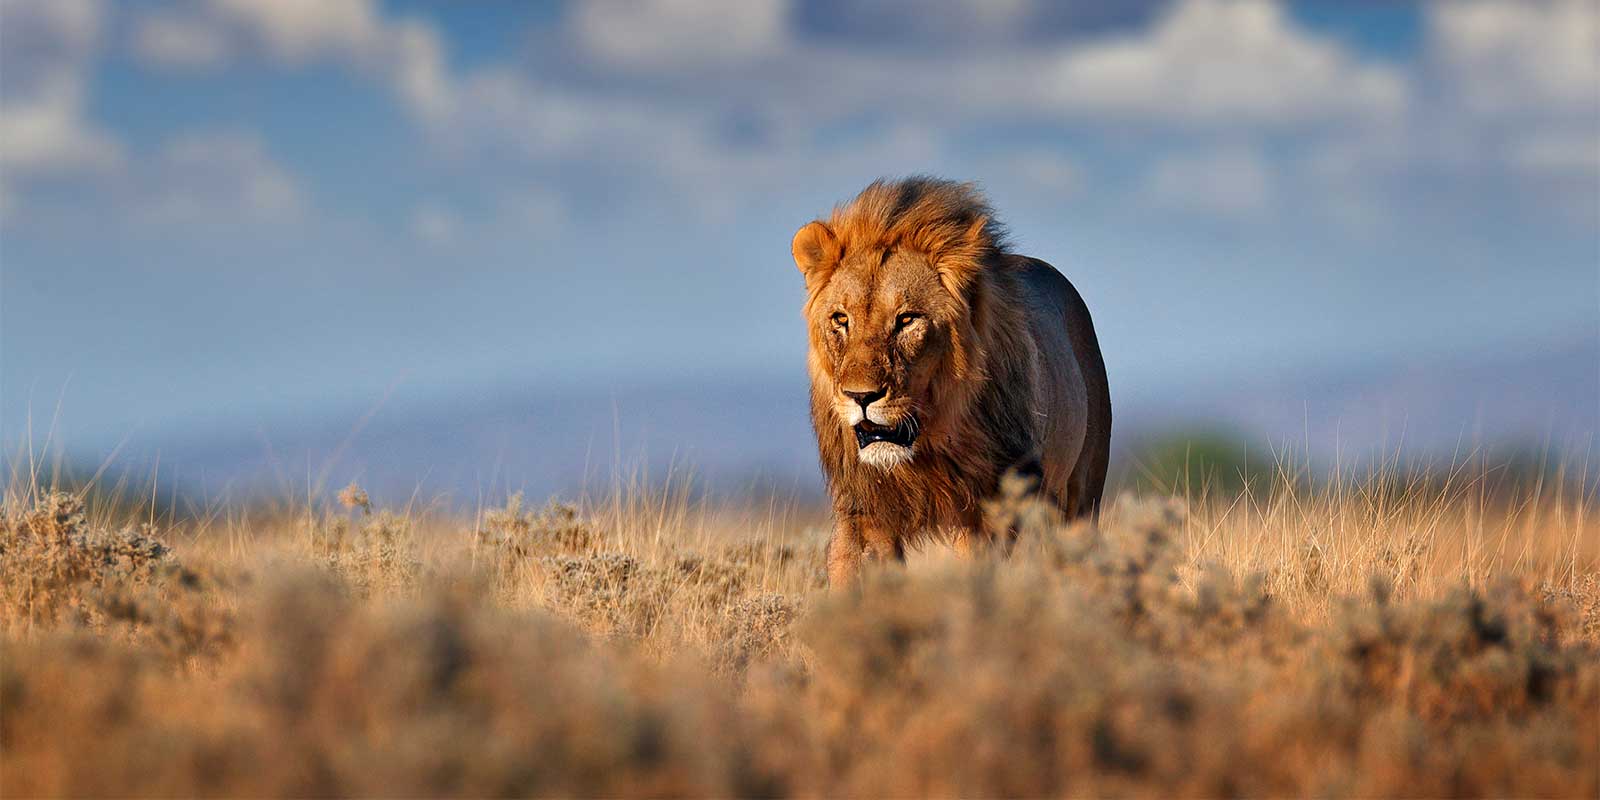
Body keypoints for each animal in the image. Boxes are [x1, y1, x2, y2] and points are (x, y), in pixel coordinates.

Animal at [790, 177, 1112, 585]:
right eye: (840, 319)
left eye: (907, 319)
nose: (860, 396)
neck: (927, 444)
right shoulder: (862, 507)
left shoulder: (992, 507)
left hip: (1083, 491)